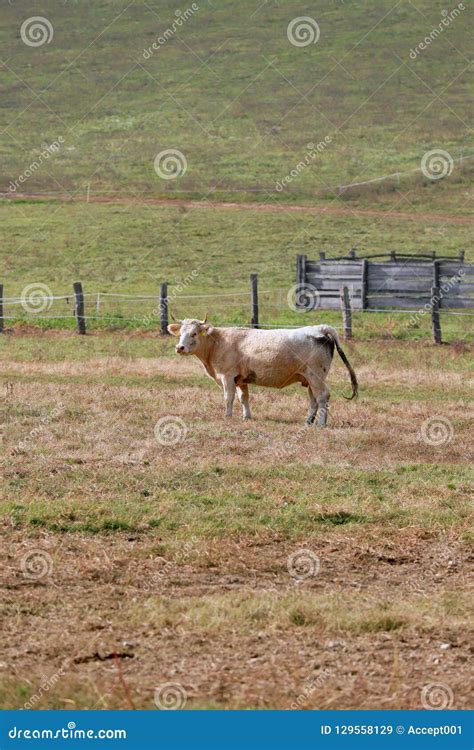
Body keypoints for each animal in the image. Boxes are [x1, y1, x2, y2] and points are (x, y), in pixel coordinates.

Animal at [168, 318, 358, 428]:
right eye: (180, 333)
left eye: (194, 333)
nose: (180, 347)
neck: (217, 343)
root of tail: (319, 328)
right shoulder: (240, 379)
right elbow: (243, 398)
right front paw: (246, 417)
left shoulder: (227, 376)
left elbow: (228, 398)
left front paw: (227, 416)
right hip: (310, 378)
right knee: (314, 399)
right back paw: (308, 421)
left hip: (316, 375)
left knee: (323, 397)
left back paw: (320, 423)